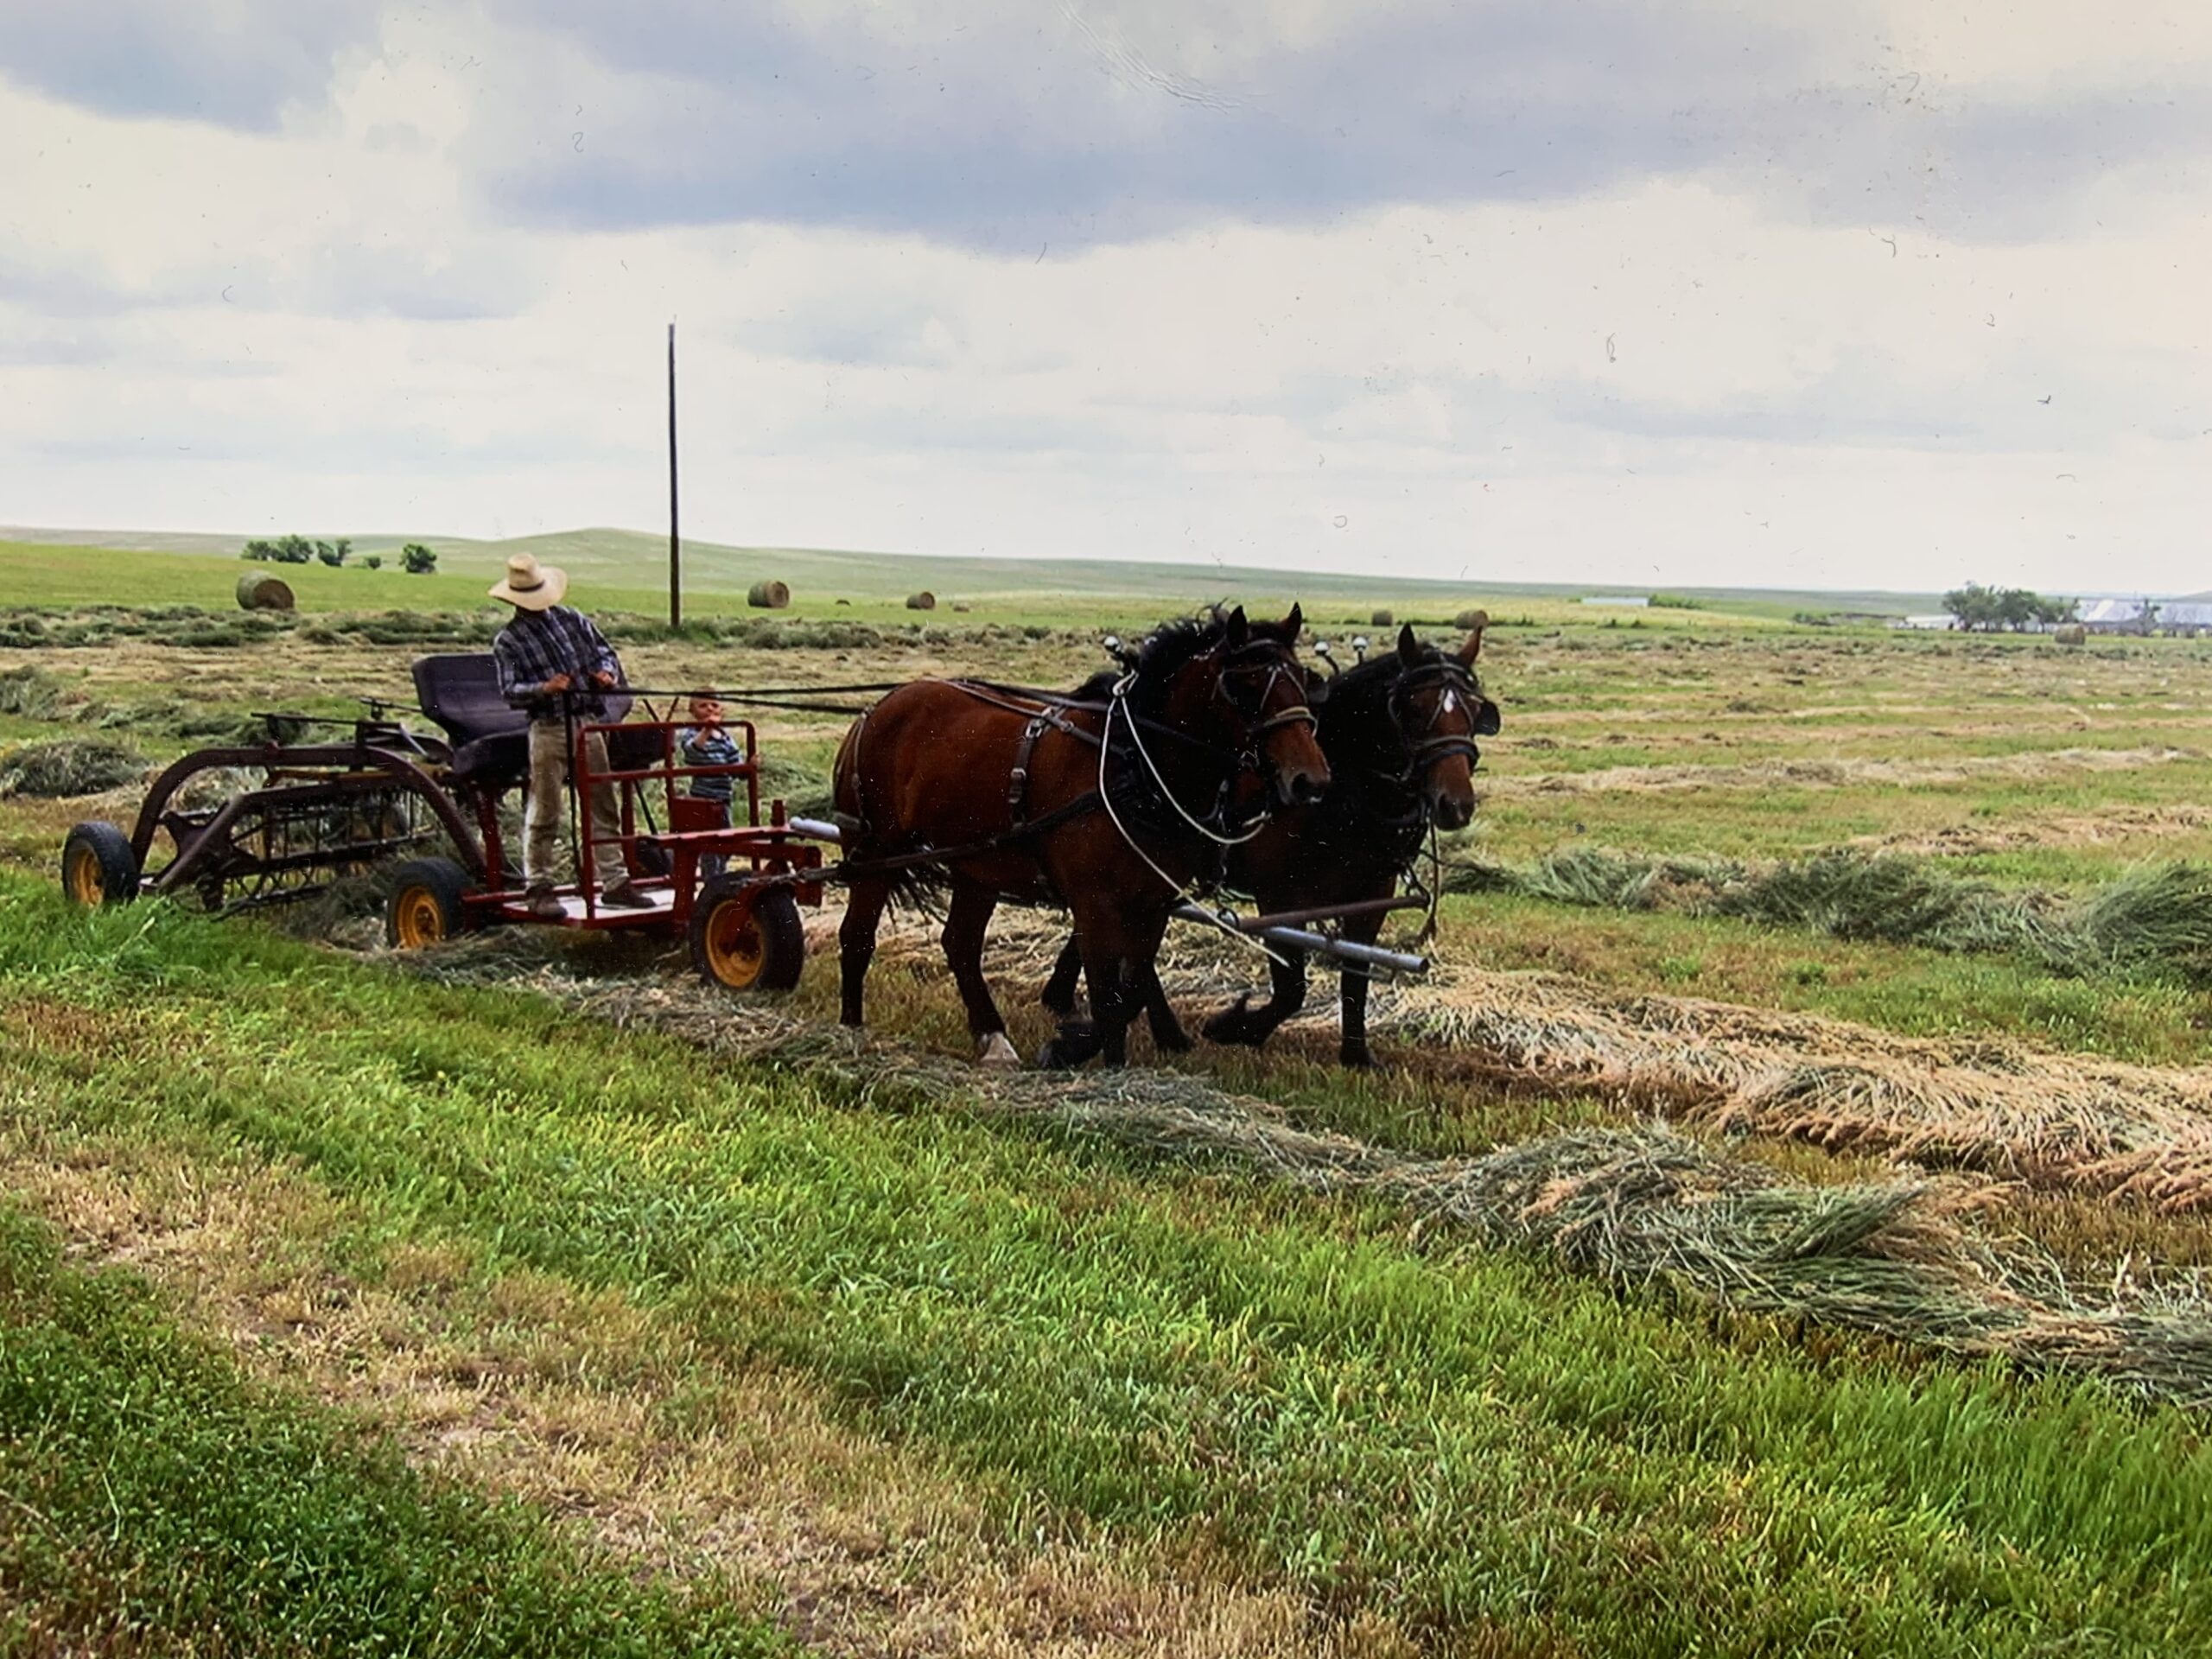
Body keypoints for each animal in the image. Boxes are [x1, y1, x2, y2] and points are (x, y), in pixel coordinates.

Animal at [831, 605, 1330, 1068]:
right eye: (1245, 686)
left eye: (1304, 680)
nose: (1310, 779)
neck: (1134, 767)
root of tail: (878, 708)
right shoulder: (1095, 905)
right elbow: (1109, 999)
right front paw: (1096, 1061)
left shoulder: (1153, 906)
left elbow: (1131, 990)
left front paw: (1077, 1045)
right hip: (876, 852)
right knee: (857, 937)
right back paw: (851, 1033)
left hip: (979, 866)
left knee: (961, 945)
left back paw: (993, 1037)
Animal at [1041, 619, 1498, 1067]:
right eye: (1413, 708)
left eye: (1475, 711)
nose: (1455, 805)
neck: (1342, 790)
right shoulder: (1281, 895)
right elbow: (1291, 989)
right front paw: (1235, 1026)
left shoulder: (1372, 895)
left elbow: (1355, 975)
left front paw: (1355, 1053)